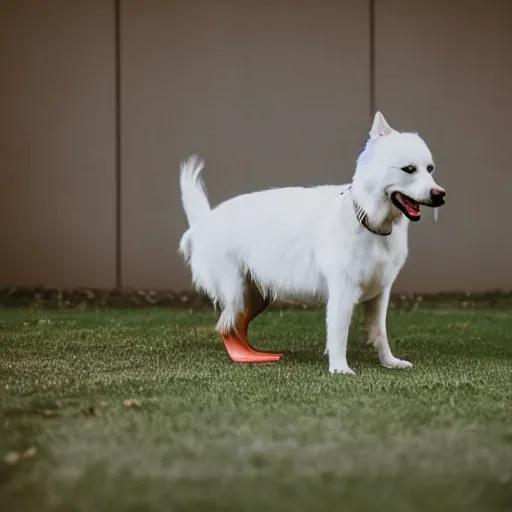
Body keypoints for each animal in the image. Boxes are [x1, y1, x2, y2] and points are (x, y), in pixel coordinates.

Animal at [178, 111, 446, 372]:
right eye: (409, 169)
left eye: (430, 169)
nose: (440, 195)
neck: (366, 219)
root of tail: (203, 221)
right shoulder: (342, 292)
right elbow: (338, 333)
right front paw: (339, 368)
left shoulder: (380, 293)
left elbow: (380, 333)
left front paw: (389, 362)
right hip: (236, 292)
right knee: (226, 327)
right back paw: (245, 356)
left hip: (255, 295)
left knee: (236, 326)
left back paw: (255, 355)